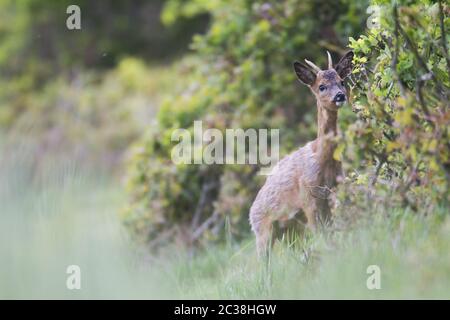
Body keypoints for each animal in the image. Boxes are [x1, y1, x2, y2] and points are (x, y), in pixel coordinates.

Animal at [250, 51, 352, 256]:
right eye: (321, 86)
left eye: (342, 81)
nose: (340, 96)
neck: (323, 159)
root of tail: (250, 213)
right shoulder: (308, 195)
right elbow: (321, 233)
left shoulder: (335, 186)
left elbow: (330, 230)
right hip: (262, 230)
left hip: (290, 228)